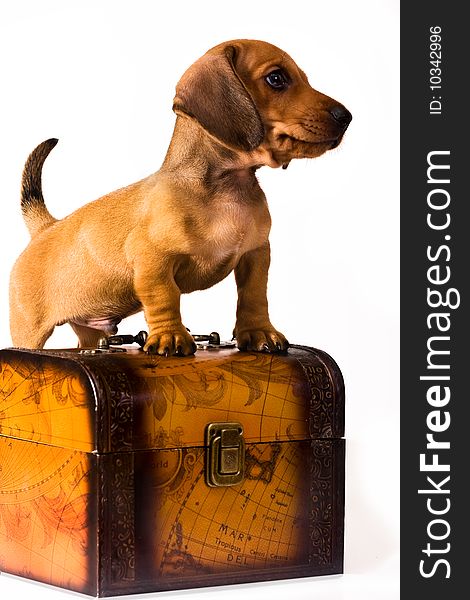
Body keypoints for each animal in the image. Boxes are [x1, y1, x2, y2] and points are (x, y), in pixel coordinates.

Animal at [9, 39, 350, 356]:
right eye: (276, 78)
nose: (346, 116)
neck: (226, 190)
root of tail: (46, 227)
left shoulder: (256, 255)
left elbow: (254, 296)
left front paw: (258, 332)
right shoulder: (153, 261)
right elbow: (164, 298)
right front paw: (170, 336)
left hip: (91, 330)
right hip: (28, 331)